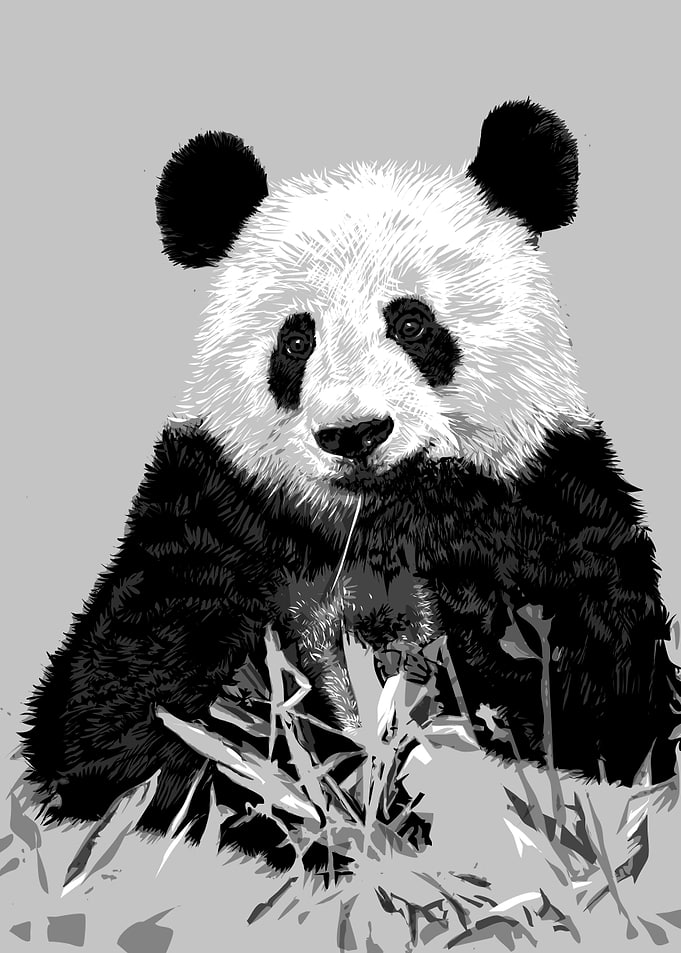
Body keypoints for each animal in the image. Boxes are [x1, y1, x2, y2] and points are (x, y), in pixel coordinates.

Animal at [21, 100, 679, 873]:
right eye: (296, 340)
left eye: (411, 322)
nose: (355, 433)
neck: (373, 519)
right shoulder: (211, 517)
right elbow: (129, 714)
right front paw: (332, 800)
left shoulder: (558, 499)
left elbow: (596, 689)